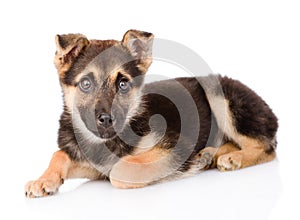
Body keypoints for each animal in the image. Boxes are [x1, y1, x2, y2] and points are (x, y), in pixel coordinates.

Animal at [24, 29, 278, 198]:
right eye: (86, 84)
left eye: (123, 84)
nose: (106, 120)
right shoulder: (90, 165)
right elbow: (59, 154)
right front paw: (43, 180)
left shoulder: (173, 146)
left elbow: (121, 169)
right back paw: (210, 155)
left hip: (219, 96)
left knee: (267, 148)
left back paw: (233, 158)